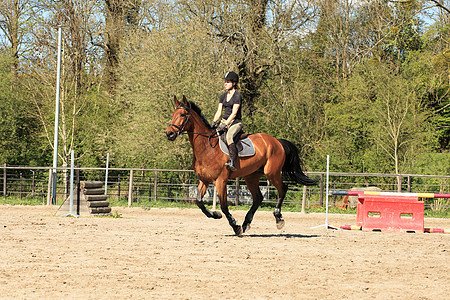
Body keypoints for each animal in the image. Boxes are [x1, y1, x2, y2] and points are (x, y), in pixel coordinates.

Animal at [165, 96, 316, 237]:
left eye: (183, 114)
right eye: (173, 114)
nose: (169, 133)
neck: (206, 148)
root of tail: (276, 141)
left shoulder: (221, 181)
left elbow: (224, 206)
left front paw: (235, 226)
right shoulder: (204, 180)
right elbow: (199, 202)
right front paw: (216, 215)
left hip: (271, 173)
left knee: (283, 189)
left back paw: (278, 218)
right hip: (251, 176)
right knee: (258, 198)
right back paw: (246, 223)